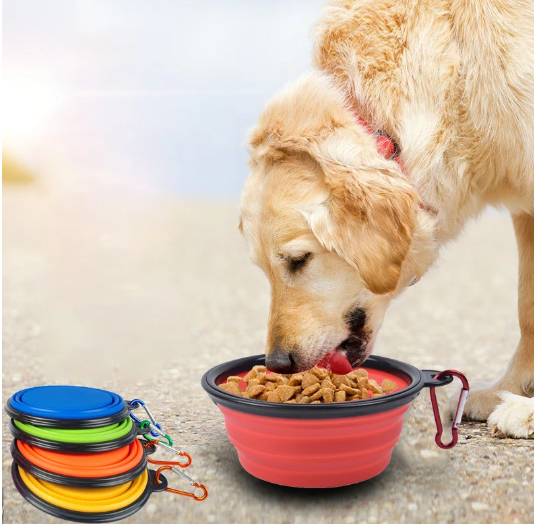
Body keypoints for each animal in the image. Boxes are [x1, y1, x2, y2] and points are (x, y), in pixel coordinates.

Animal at [241, 0, 532, 438]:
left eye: (298, 260)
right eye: (263, 270)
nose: (277, 363)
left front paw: (523, 408)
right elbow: (526, 307)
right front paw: (509, 389)